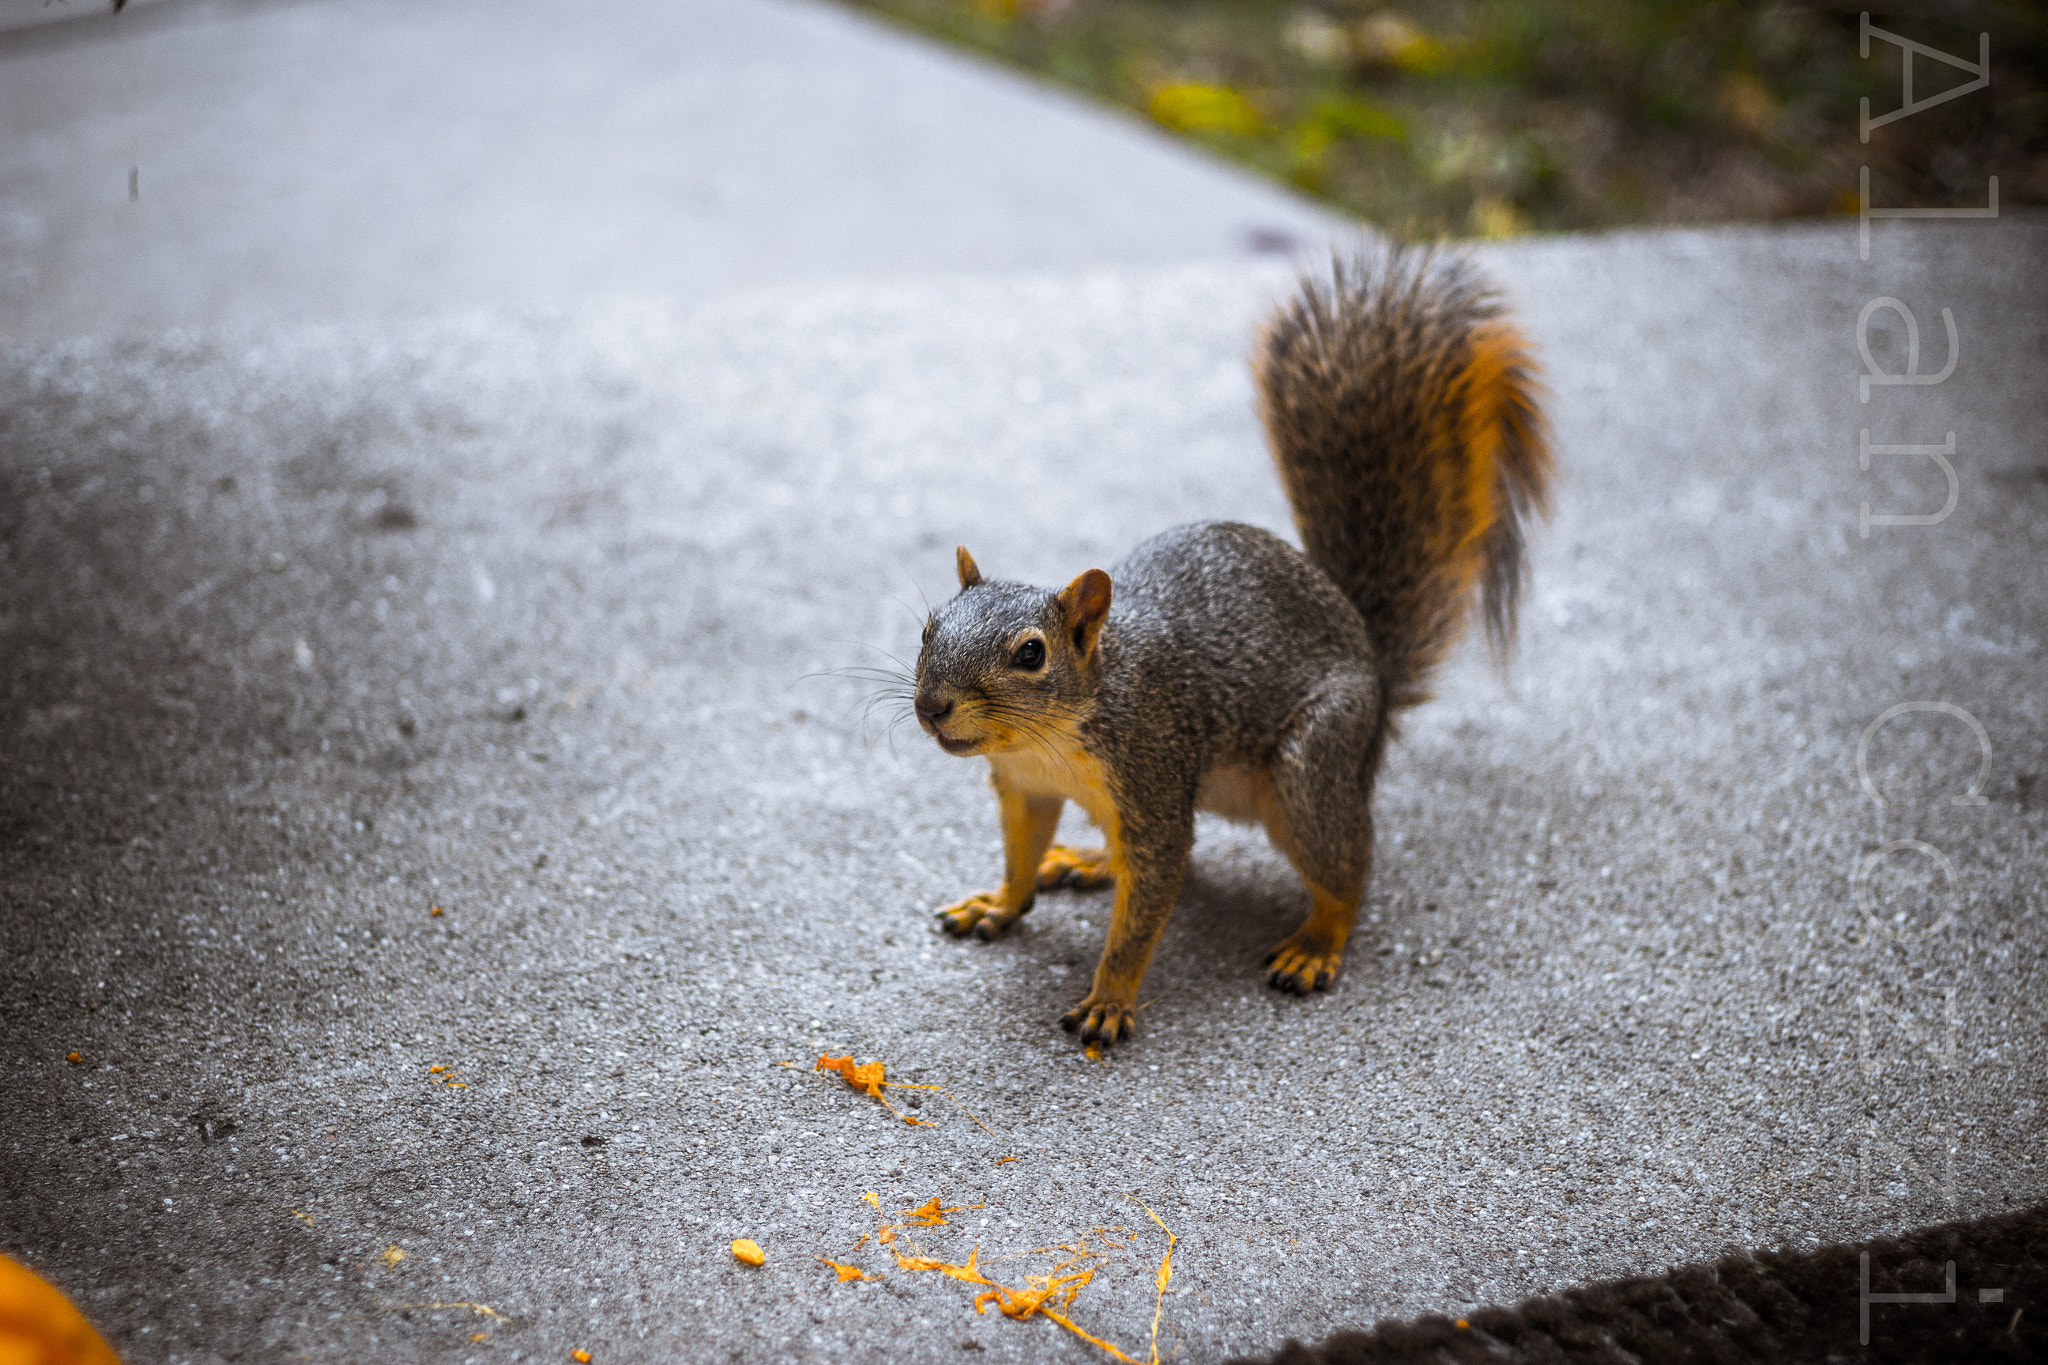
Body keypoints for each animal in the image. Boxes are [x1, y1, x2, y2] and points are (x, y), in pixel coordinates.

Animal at [910, 245, 1551, 1047]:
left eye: (1031, 654)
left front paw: (1109, 999)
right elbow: (1024, 857)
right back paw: (1088, 860)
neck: (1051, 737)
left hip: (1312, 766)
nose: (932, 707)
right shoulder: (1025, 788)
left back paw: (1317, 943)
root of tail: (1374, 676)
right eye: (927, 628)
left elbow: (1147, 904)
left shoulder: (1150, 771)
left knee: (1347, 866)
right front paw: (999, 903)